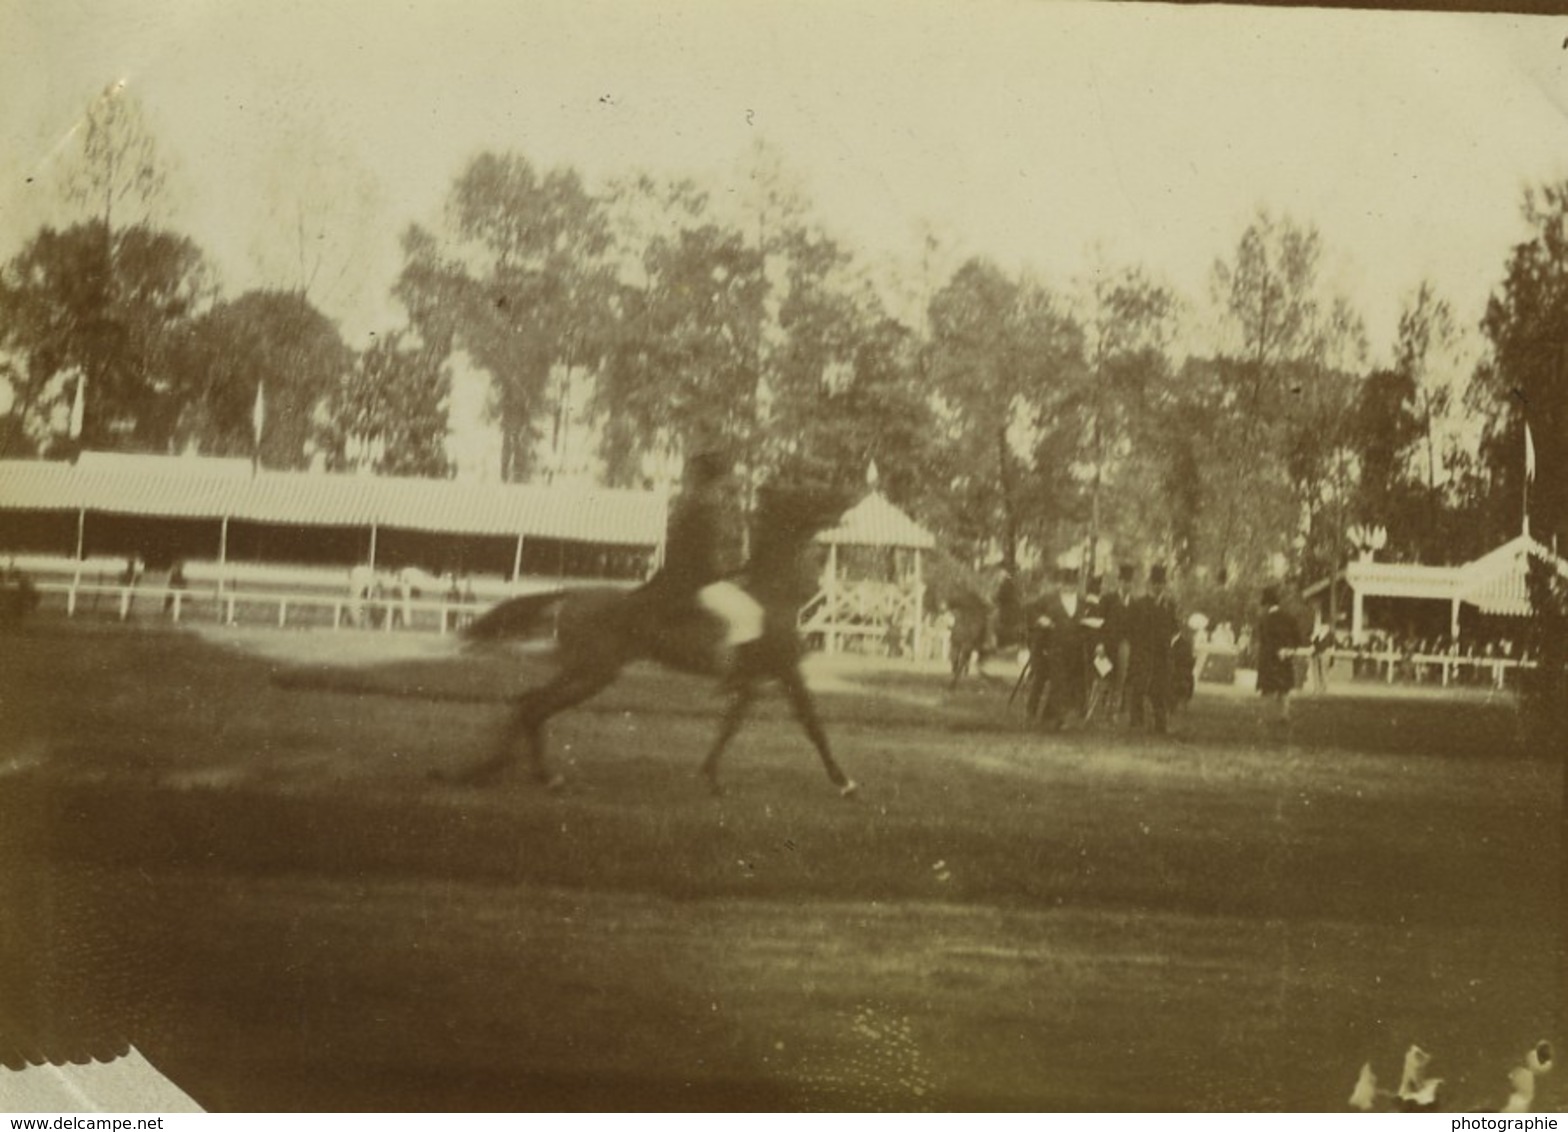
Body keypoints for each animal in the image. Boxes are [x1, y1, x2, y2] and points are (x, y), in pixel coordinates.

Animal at [439, 482, 859, 793]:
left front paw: (711, 776)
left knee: (530, 704)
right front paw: (844, 782)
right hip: (593, 672)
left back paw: (507, 771)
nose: (850, 501)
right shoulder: (785, 671)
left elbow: (733, 727)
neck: (770, 593)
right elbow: (812, 725)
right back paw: (534, 775)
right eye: (812, 492)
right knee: (534, 705)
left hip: (588, 671)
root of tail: (572, 593)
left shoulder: (758, 680)